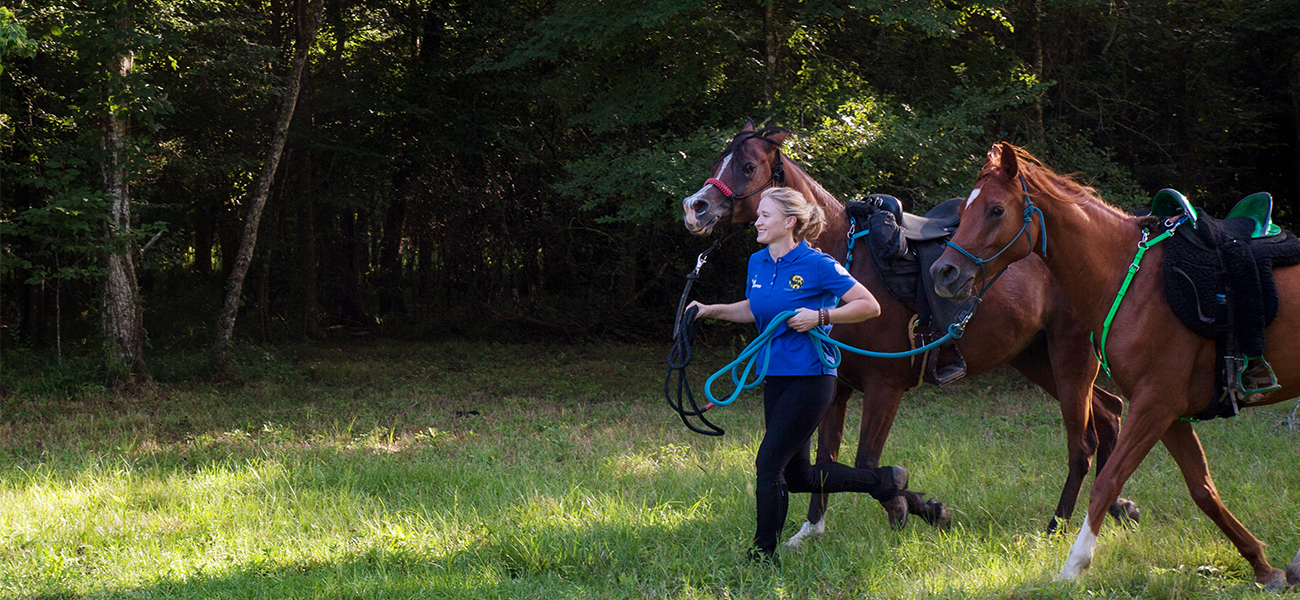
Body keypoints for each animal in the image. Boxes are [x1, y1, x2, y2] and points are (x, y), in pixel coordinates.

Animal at [681, 121, 1138, 546]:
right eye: (716, 163)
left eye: (748, 165)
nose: (694, 207)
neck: (849, 264)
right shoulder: (837, 389)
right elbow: (826, 462)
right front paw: (812, 529)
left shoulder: (886, 385)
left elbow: (865, 462)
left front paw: (918, 506)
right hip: (1034, 356)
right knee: (1111, 411)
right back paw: (1118, 506)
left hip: (1070, 355)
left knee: (1083, 441)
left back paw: (1059, 525)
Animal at [931, 141, 1300, 589]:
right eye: (965, 209)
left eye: (996, 210)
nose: (943, 272)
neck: (1136, 283)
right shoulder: (1170, 415)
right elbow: (1203, 490)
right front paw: (1262, 564)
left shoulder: (1155, 406)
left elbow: (1107, 481)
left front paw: (1073, 566)